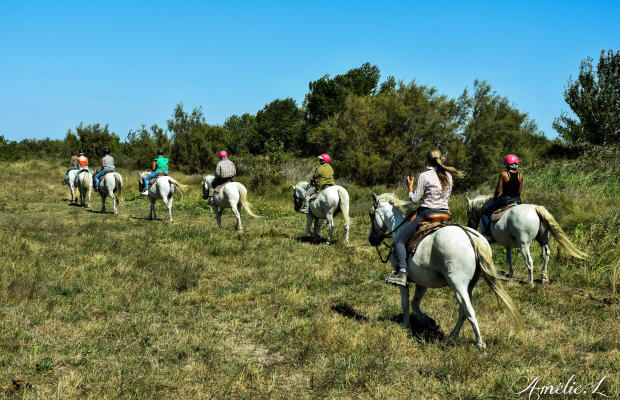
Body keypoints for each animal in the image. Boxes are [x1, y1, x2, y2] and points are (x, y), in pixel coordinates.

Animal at [368, 195, 524, 350]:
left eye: (371, 214)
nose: (371, 239)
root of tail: (472, 238)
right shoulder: (422, 281)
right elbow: (415, 303)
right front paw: (429, 321)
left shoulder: (404, 282)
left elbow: (405, 303)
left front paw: (406, 326)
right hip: (471, 286)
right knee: (462, 312)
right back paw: (451, 336)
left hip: (458, 285)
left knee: (469, 311)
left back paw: (480, 344)